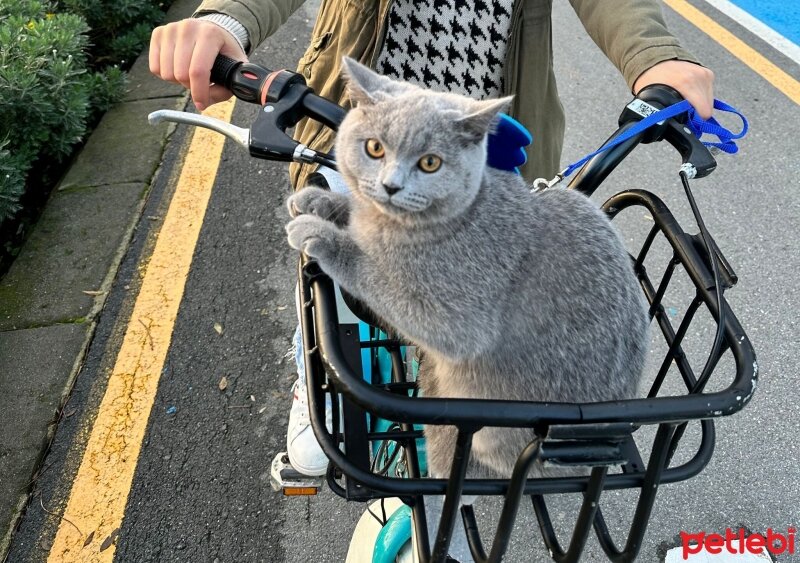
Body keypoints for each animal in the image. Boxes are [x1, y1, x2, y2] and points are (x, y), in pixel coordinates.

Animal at [288, 56, 648, 480]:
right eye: (374, 147)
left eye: (430, 163)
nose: (391, 185)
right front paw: (319, 201)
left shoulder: (457, 318)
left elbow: (372, 271)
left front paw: (319, 234)